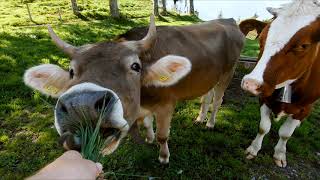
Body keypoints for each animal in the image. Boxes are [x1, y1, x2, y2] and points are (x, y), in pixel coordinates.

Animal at [23, 16, 244, 164]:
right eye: (71, 71)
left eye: (135, 66)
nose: (81, 106)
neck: (143, 99)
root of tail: (228, 21)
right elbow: (146, 123)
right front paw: (149, 138)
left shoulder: (166, 105)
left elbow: (163, 135)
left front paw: (163, 156)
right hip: (211, 76)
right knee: (207, 97)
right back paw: (200, 118)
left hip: (228, 72)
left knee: (218, 99)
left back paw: (210, 123)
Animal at [241, 0, 318, 168]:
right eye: (261, 39)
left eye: (303, 46)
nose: (250, 83)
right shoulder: (264, 98)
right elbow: (264, 127)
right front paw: (253, 149)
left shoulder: (305, 107)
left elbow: (285, 133)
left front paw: (280, 154)